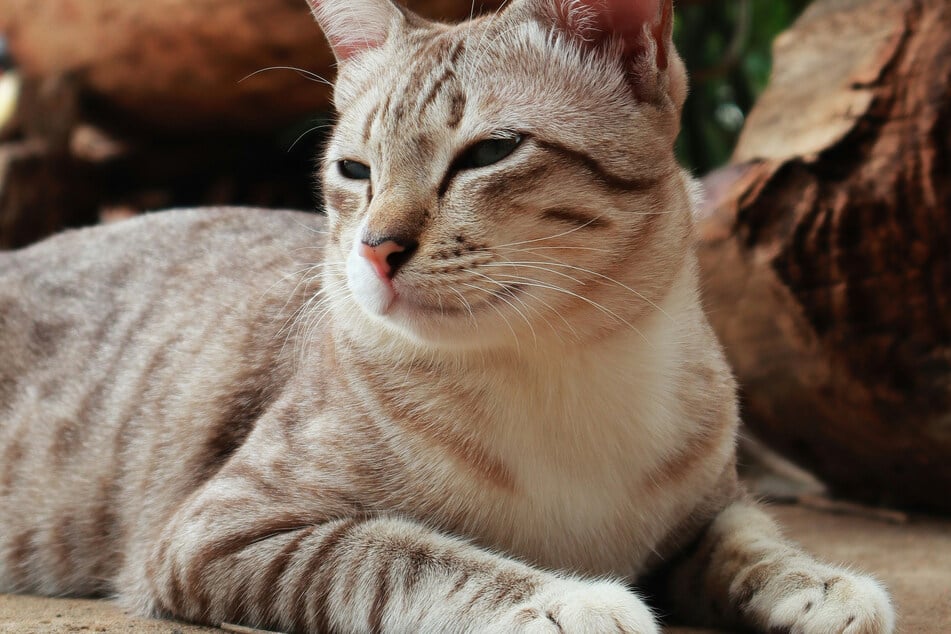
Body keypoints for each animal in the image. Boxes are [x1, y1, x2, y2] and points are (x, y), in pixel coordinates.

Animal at [0, 1, 900, 632]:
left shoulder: (712, 502)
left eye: (489, 152)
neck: (562, 367)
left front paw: (817, 580)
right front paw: (564, 600)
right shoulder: (219, 531)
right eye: (353, 171)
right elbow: (398, 554)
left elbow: (750, 536)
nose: (375, 248)